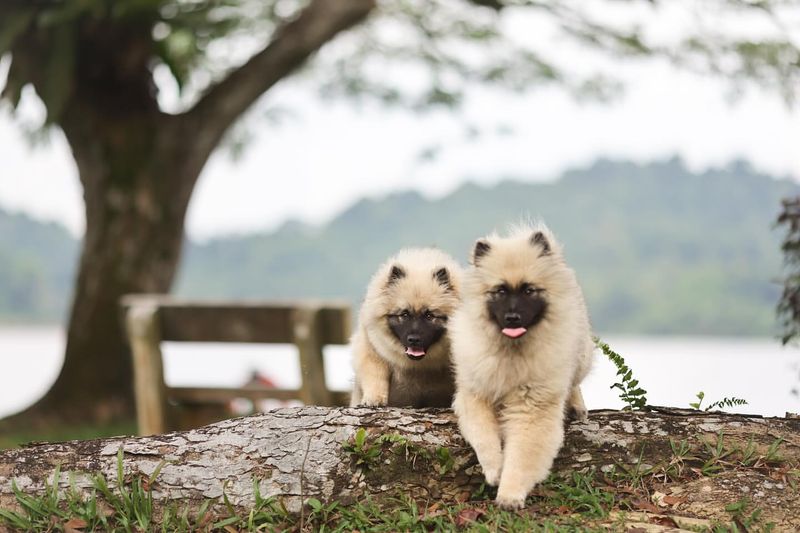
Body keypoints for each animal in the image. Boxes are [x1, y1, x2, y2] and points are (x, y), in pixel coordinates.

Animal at [350, 247, 462, 406]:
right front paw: (374, 399)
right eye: (404, 314)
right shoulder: (372, 351)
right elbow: (375, 375)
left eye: (429, 316)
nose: (414, 339)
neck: (417, 366)